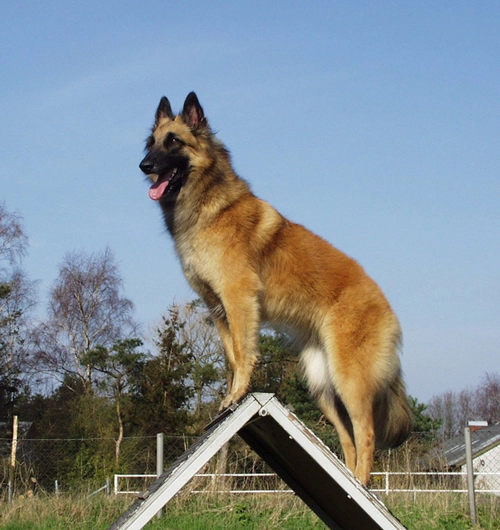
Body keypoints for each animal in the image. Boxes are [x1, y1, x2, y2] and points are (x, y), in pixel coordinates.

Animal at [139, 92, 412, 482]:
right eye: (151, 142)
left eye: (173, 141)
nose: (143, 165)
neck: (209, 205)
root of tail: (387, 307)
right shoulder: (217, 307)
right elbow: (232, 354)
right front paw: (231, 399)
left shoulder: (238, 298)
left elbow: (243, 352)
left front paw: (237, 395)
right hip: (322, 385)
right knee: (348, 439)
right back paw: (349, 482)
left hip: (350, 380)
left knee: (367, 433)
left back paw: (360, 484)